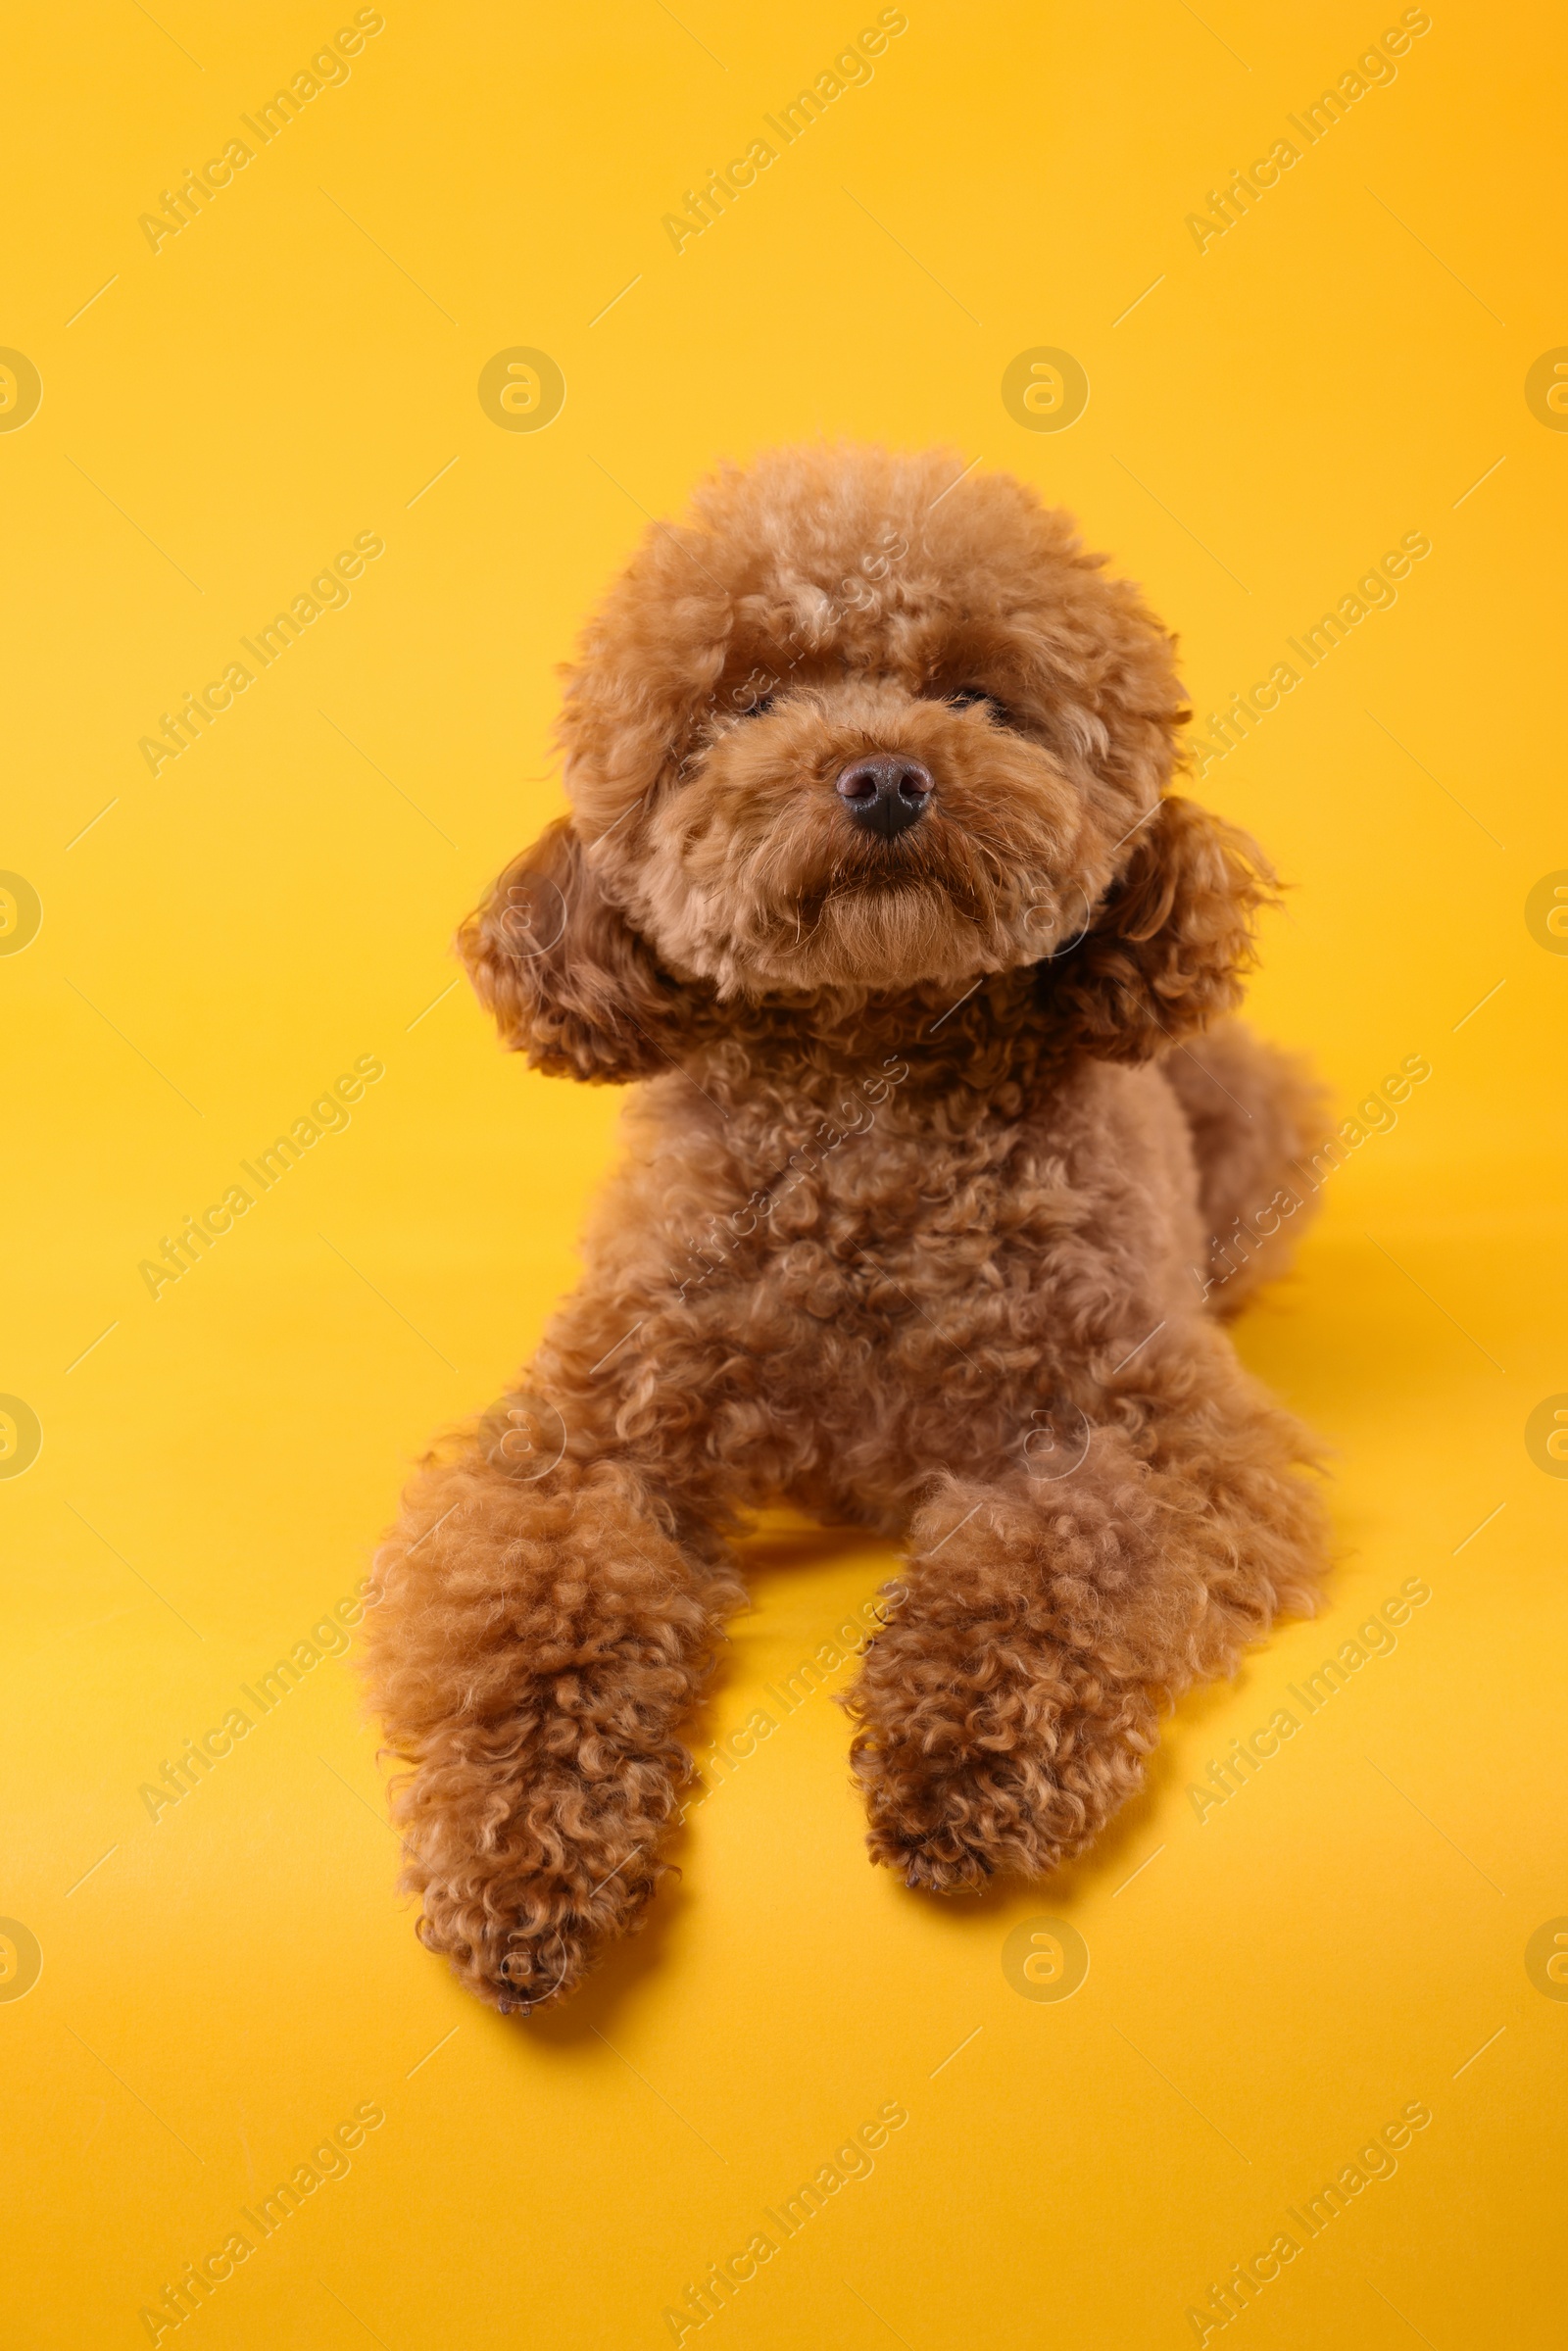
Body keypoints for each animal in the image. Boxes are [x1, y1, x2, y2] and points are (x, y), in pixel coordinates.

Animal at [362, 444, 1335, 2022]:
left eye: (981, 694)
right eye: (748, 702)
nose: (882, 773)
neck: (870, 1108)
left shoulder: (1157, 1431)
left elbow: (1053, 1557)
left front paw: (965, 1758)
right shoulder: (574, 1446)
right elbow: (534, 1602)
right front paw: (519, 1852)